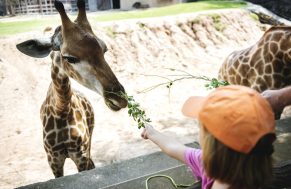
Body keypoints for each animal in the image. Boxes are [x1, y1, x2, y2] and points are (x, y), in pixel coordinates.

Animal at [15, 0, 128, 177]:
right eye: (69, 57)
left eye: (104, 50)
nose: (119, 99)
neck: (60, 109)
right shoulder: (53, 160)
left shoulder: (80, 155)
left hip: (89, 142)